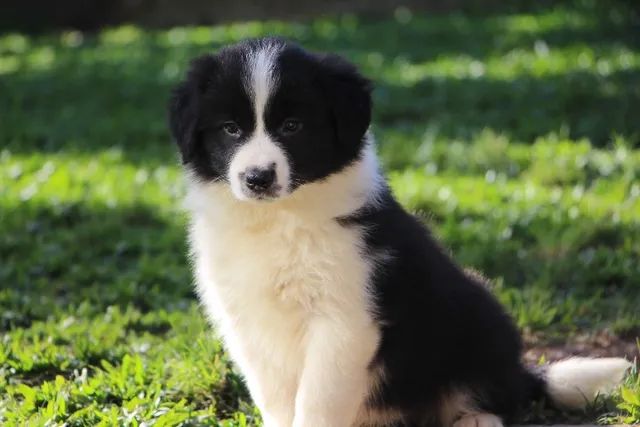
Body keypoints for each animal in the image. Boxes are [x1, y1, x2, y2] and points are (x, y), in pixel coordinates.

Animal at [169, 37, 632, 427]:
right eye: (230, 128)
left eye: (292, 127)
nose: (257, 178)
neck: (279, 218)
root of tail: (521, 372)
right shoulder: (248, 324)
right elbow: (276, 397)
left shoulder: (345, 319)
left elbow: (317, 403)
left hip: (478, 317)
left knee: (498, 395)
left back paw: (475, 419)